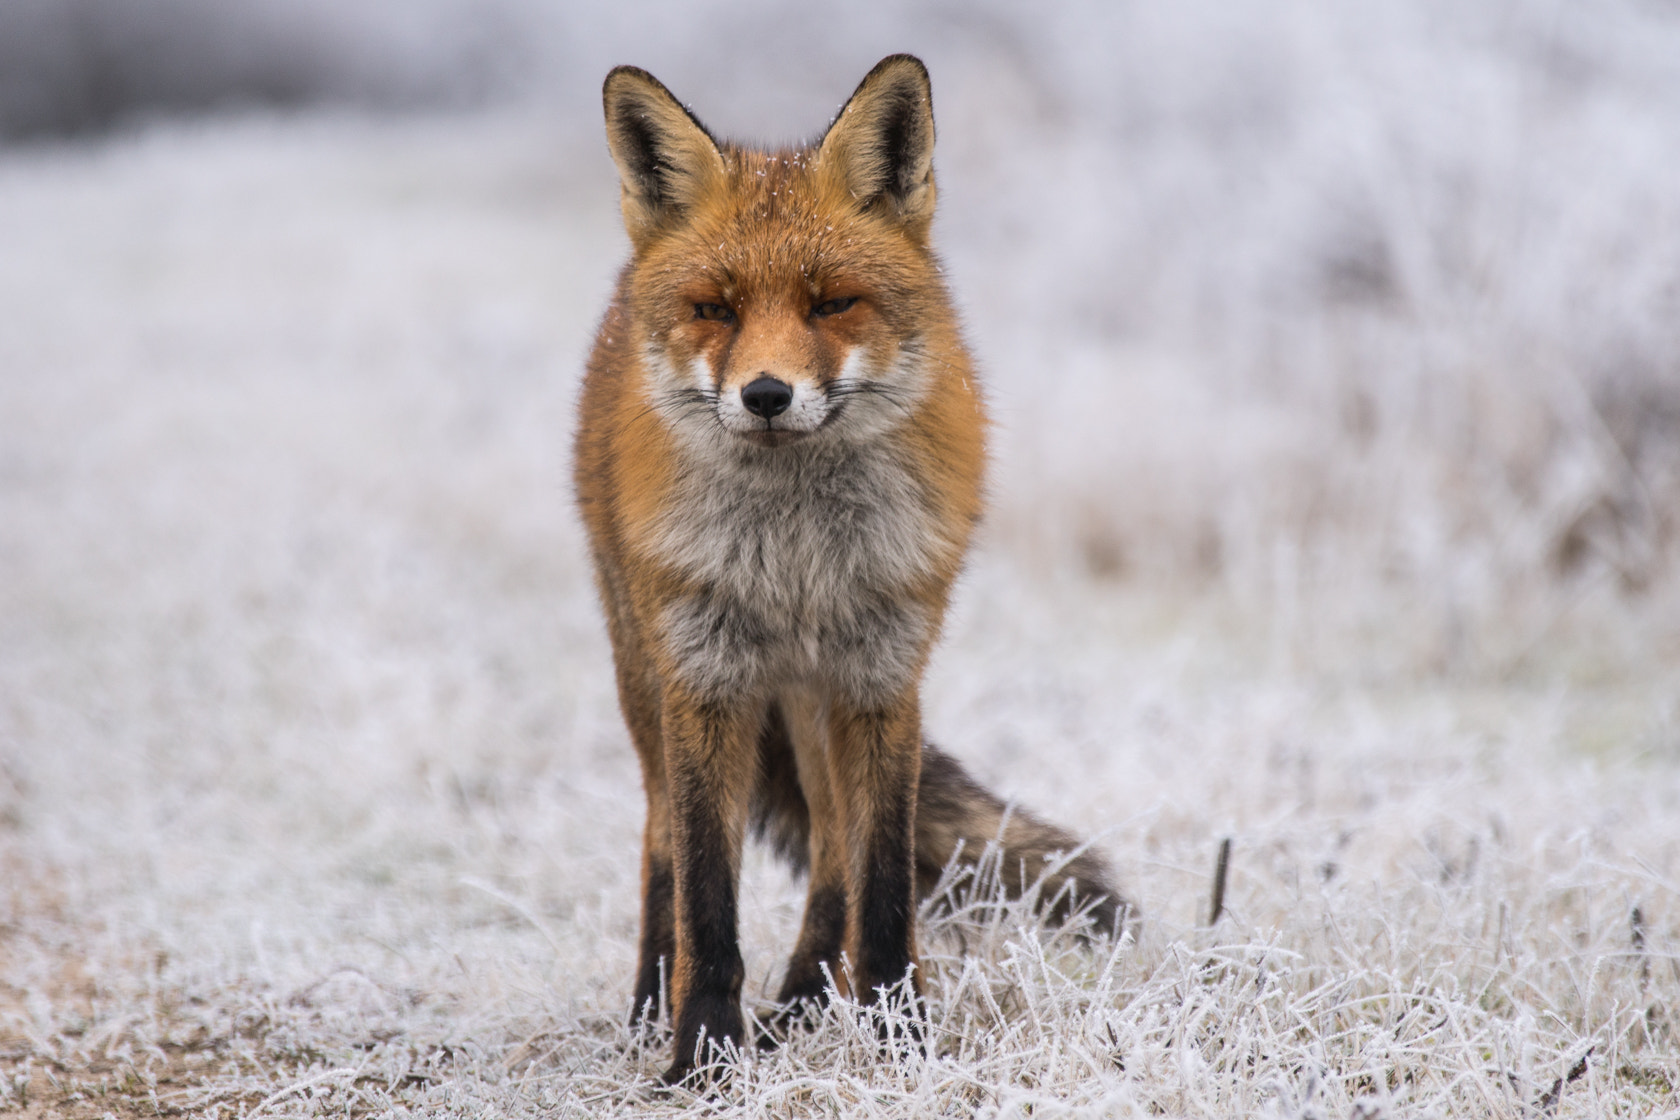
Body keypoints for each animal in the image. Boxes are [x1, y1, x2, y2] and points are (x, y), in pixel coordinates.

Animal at [577, 54, 1128, 1088]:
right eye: (715, 309)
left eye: (831, 302)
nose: (765, 395)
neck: (795, 562)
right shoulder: (706, 685)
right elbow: (706, 895)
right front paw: (702, 1056)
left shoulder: (882, 680)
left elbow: (880, 888)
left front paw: (903, 1039)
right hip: (646, 675)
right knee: (661, 840)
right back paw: (652, 1010)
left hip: (819, 700)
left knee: (833, 845)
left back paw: (799, 1004)